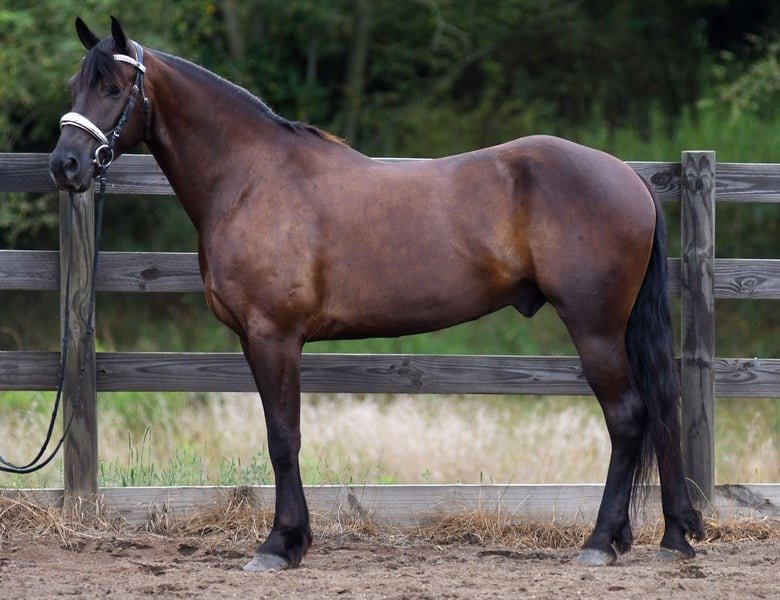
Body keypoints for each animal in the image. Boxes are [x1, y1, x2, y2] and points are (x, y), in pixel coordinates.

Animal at [49, 17, 704, 571]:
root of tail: (628, 176)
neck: (251, 179)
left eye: (112, 86)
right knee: (656, 411)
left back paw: (601, 542)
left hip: (594, 327)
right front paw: (294, 539)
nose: (66, 165)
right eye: (74, 84)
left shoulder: (274, 336)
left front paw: (280, 545)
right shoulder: (255, 341)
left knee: (628, 418)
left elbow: (283, 437)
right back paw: (671, 534)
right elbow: (282, 434)